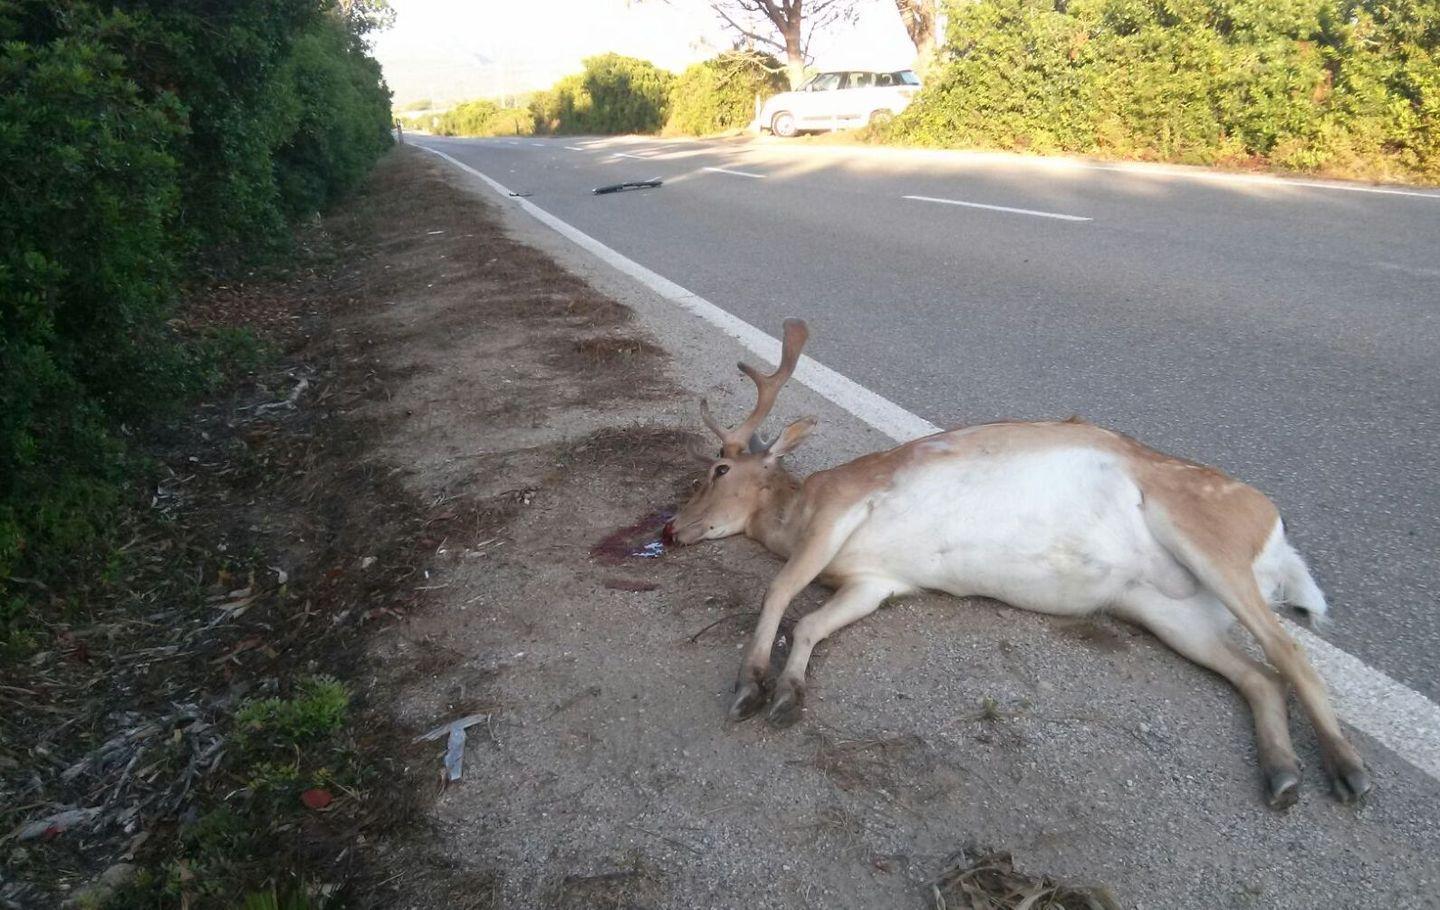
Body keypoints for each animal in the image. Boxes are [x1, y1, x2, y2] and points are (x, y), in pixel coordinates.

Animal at [664, 319, 1372, 809]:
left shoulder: (844, 508)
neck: (798, 514)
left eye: (718, 469)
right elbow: (811, 621)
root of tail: (1275, 536)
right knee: (1260, 676)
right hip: (1169, 610)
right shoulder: (875, 580)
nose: (670, 529)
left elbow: (781, 592)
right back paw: (1283, 775)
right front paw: (787, 694)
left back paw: (1347, 770)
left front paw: (748, 686)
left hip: (1209, 534)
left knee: (1289, 650)